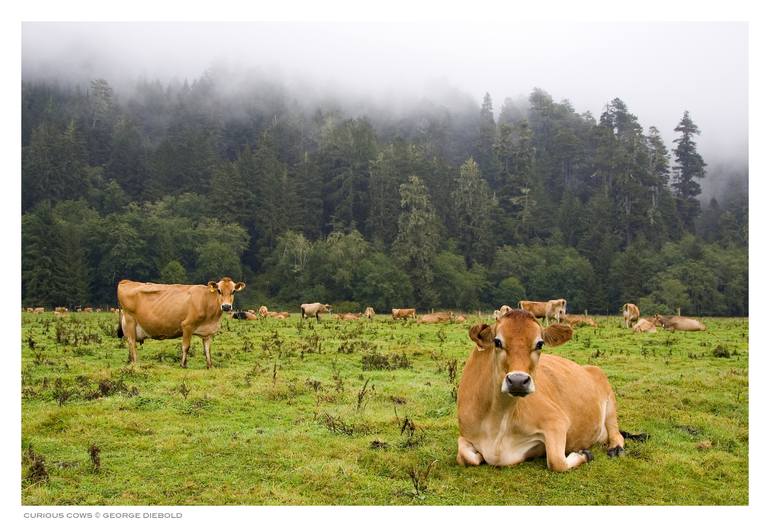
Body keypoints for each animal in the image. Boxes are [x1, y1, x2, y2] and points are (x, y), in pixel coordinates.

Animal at [456, 308, 624, 472]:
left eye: (540, 344)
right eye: (497, 341)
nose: (518, 381)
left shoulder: (556, 420)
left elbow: (557, 462)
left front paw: (584, 454)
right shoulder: (466, 434)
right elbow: (463, 456)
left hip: (610, 401)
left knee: (617, 434)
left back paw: (616, 448)